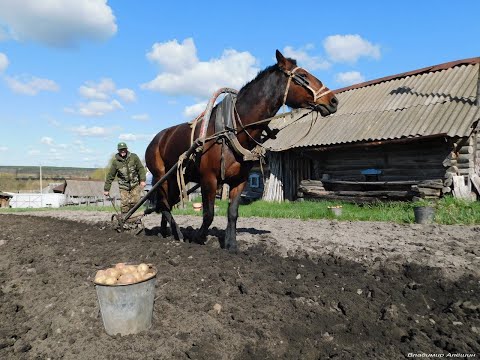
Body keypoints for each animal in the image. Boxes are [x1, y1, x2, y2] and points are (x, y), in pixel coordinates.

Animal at [146, 50, 338, 250]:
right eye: (303, 75)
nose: (333, 100)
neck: (232, 129)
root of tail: (156, 139)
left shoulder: (240, 180)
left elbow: (233, 213)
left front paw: (231, 245)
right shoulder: (209, 179)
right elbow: (209, 214)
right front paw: (199, 238)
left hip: (175, 180)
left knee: (164, 205)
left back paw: (165, 232)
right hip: (160, 176)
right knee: (164, 205)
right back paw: (178, 234)